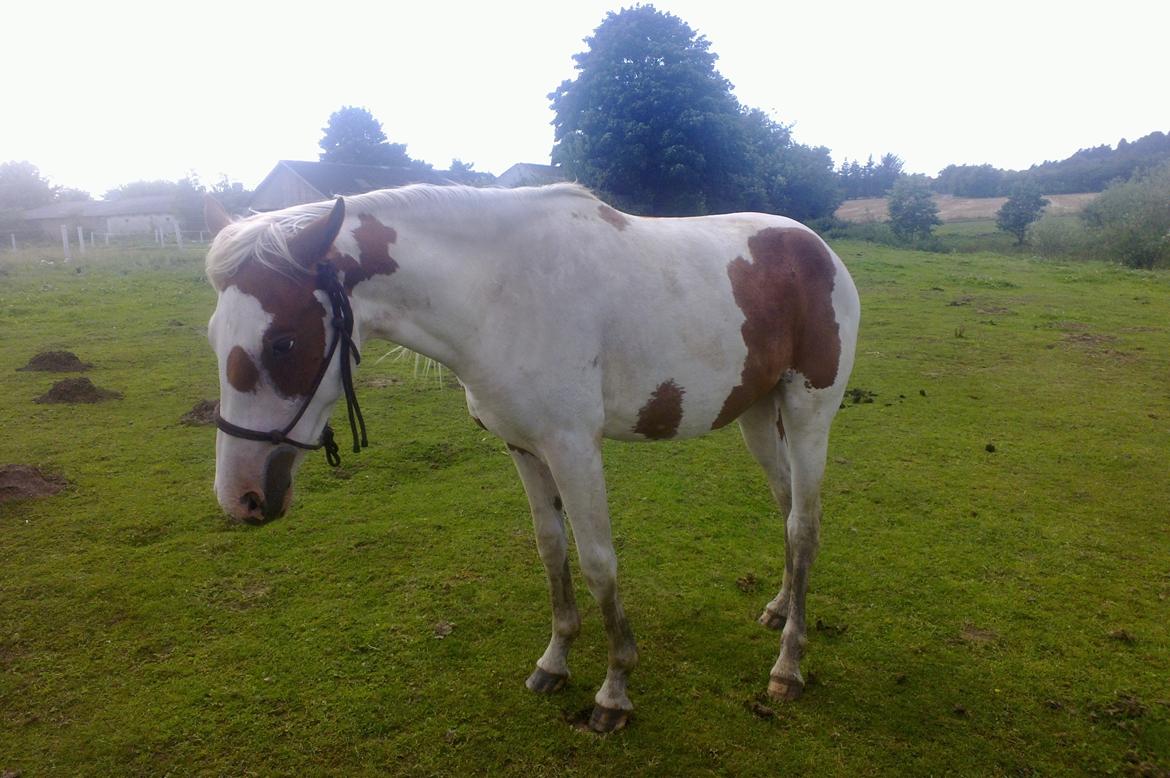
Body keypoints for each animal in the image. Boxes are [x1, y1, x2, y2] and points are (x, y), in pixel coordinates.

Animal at [203, 184, 861, 730]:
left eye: (283, 341)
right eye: (214, 336)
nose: (241, 497)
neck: (498, 295)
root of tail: (814, 248)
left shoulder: (573, 448)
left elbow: (598, 564)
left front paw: (614, 690)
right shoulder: (523, 448)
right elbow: (551, 551)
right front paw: (555, 661)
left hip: (809, 416)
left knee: (804, 526)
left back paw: (788, 666)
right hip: (757, 415)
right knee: (786, 507)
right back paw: (779, 607)